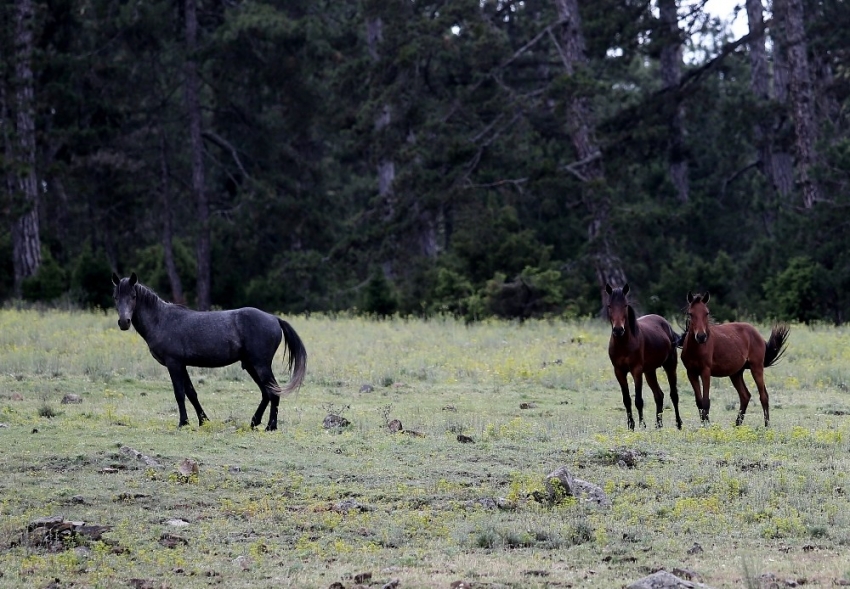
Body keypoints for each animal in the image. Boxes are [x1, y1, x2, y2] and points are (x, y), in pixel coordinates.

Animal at [600, 284, 680, 428]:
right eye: (609, 305)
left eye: (625, 305)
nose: (618, 330)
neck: (624, 344)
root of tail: (667, 325)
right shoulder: (619, 372)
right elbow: (627, 399)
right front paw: (631, 426)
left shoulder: (636, 370)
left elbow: (638, 400)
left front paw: (642, 426)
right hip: (650, 372)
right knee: (659, 395)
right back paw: (658, 425)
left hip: (670, 366)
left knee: (674, 394)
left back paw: (678, 424)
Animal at [676, 292, 788, 428]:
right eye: (690, 313)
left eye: (706, 313)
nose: (701, 336)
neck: (697, 349)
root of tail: (756, 333)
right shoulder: (691, 373)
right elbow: (699, 401)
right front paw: (703, 425)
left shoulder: (705, 372)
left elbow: (706, 401)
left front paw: (707, 427)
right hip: (736, 373)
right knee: (745, 396)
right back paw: (737, 425)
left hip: (756, 367)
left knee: (763, 396)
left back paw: (767, 426)